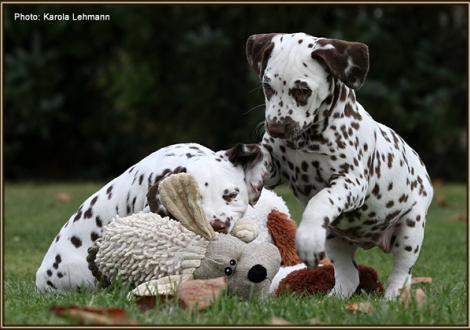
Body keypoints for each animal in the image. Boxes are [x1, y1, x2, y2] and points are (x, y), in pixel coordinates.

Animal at [246, 32, 434, 300]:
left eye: (302, 90)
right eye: (267, 86)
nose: (276, 129)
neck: (307, 139)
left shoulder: (351, 181)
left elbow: (320, 200)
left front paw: (307, 237)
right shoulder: (277, 168)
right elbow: (263, 162)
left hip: (410, 231)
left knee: (401, 273)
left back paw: (392, 300)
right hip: (335, 239)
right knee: (350, 276)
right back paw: (332, 299)